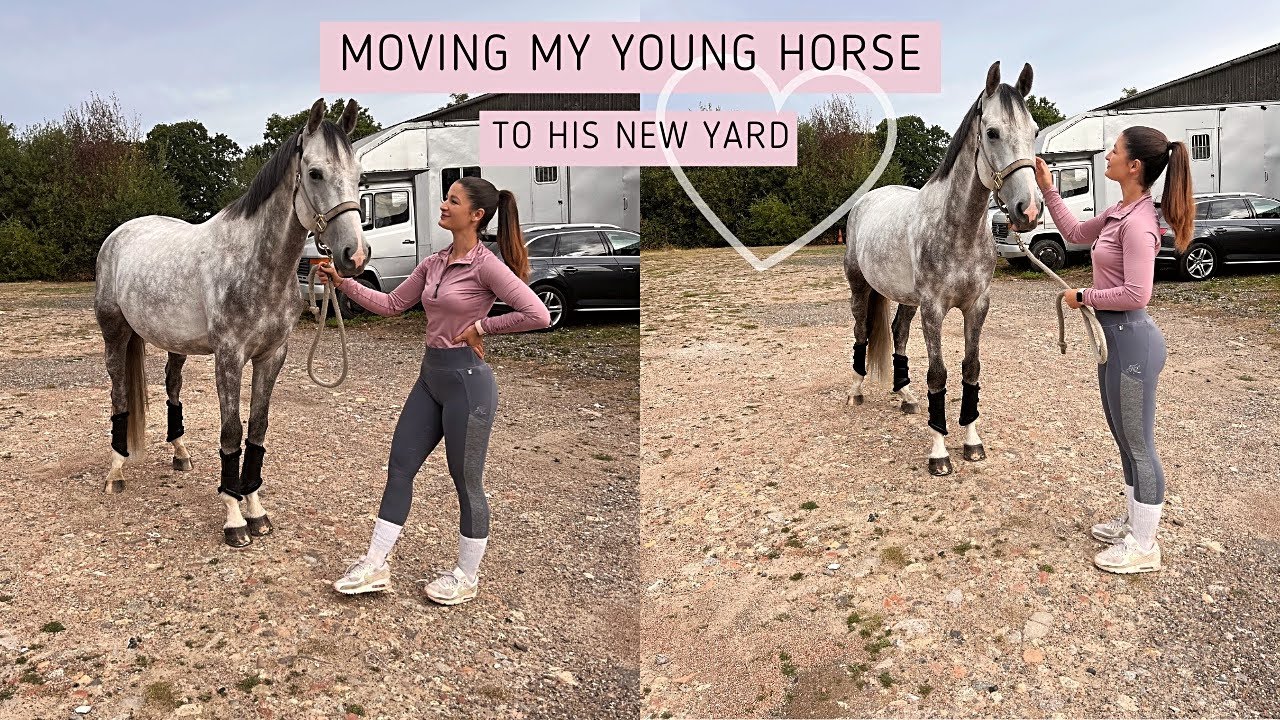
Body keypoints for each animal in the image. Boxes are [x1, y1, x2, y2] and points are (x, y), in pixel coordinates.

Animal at [93, 98, 368, 547]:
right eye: (314, 173)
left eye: (359, 176)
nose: (354, 256)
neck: (255, 262)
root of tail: (118, 236)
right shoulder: (229, 357)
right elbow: (231, 433)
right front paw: (234, 519)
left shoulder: (272, 356)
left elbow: (257, 429)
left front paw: (256, 510)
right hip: (115, 333)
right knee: (118, 395)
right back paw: (116, 472)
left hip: (175, 344)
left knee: (172, 387)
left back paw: (180, 454)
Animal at [843, 62, 1043, 476]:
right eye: (992, 132)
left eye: (1033, 131)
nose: (1029, 210)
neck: (958, 228)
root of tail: (867, 200)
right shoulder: (934, 309)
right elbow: (938, 374)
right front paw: (939, 453)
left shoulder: (976, 307)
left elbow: (971, 369)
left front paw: (972, 442)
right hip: (860, 288)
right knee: (861, 333)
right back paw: (855, 391)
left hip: (907, 299)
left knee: (898, 333)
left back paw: (905, 395)